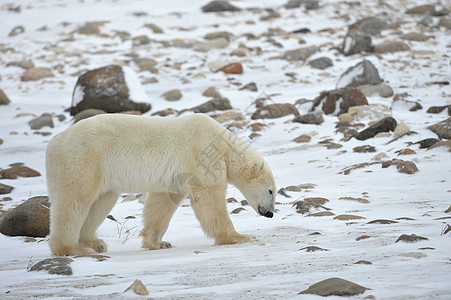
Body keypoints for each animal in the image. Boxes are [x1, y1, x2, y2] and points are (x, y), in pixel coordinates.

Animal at [47, 112, 278, 255]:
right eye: (271, 191)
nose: (270, 213)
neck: (220, 142)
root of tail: (54, 142)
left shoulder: (176, 176)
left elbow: (163, 202)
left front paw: (158, 242)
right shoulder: (199, 153)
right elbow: (210, 197)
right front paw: (241, 236)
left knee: (101, 201)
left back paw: (95, 243)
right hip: (83, 160)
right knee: (74, 202)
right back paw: (73, 249)